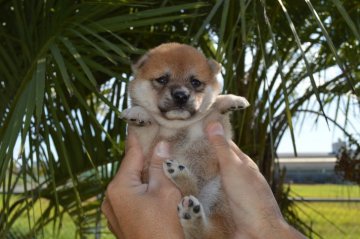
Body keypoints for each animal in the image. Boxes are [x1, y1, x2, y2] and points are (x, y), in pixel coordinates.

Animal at [121, 43, 250, 239]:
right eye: (162, 79)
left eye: (195, 82)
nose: (181, 95)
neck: (178, 126)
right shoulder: (146, 144)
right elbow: (148, 123)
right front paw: (138, 113)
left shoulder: (213, 125)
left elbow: (213, 107)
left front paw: (231, 100)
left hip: (217, 193)